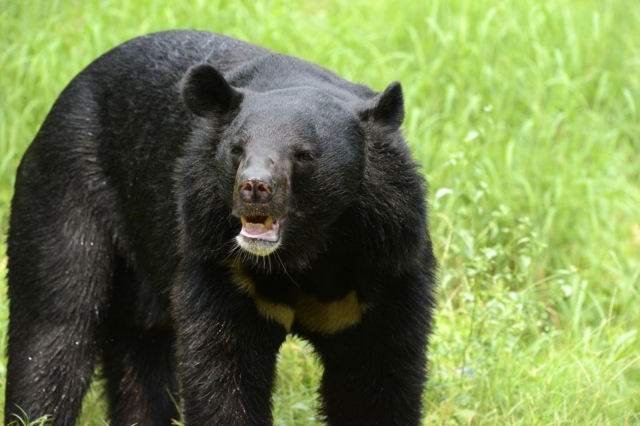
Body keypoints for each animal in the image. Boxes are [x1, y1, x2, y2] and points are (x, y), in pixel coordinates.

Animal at [5, 30, 438, 426]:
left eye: (303, 155)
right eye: (237, 149)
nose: (254, 187)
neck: (306, 249)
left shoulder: (385, 265)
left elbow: (376, 382)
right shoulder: (216, 258)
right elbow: (224, 371)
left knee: (138, 355)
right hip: (66, 190)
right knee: (54, 328)